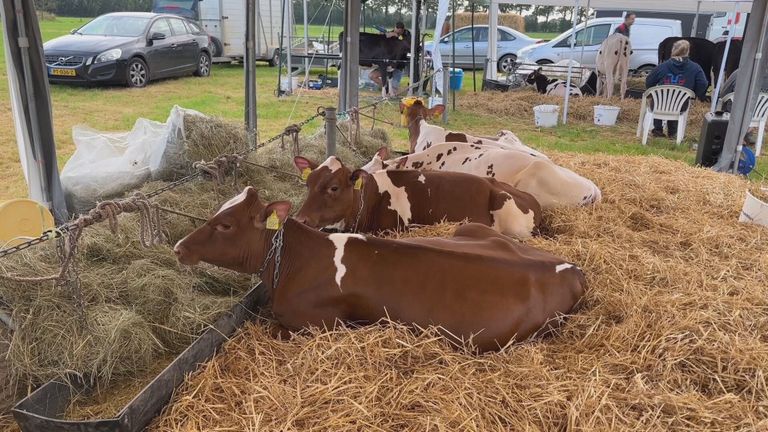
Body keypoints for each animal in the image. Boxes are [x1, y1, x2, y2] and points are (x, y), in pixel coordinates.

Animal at [174, 187, 588, 352]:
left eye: (225, 224)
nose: (179, 248)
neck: (298, 260)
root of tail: (570, 268)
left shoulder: (318, 324)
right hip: (470, 228)